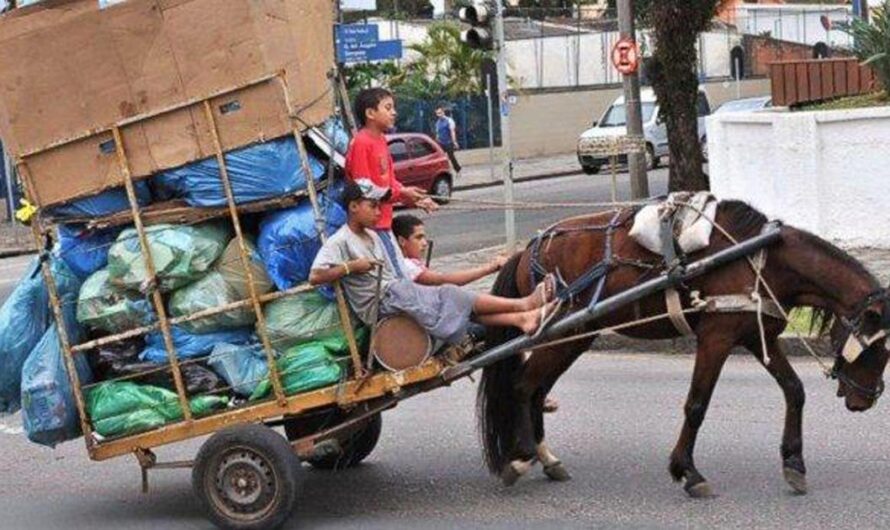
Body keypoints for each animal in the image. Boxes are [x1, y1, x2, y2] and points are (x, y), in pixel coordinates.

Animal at [478, 198, 888, 496]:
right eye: (878, 350)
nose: (863, 401)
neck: (763, 259)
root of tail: (526, 250)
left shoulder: (758, 337)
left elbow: (794, 390)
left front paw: (794, 464)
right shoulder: (716, 338)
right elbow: (696, 404)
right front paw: (688, 471)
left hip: (576, 336)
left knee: (537, 389)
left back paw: (545, 457)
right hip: (563, 333)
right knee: (524, 385)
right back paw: (521, 457)